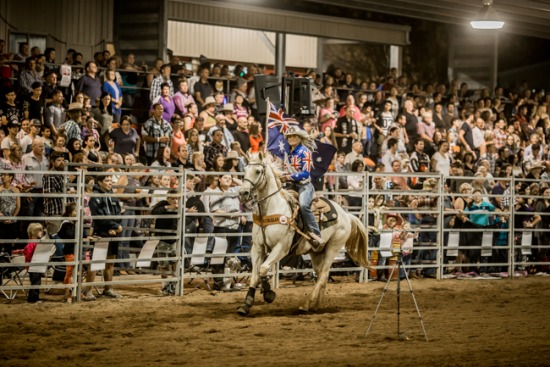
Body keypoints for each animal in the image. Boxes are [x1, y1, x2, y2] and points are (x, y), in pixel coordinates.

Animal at [238, 152, 370, 316]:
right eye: (244, 170)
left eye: (257, 171)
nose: (243, 193)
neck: (271, 208)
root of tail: (346, 215)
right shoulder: (257, 247)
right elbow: (255, 274)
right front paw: (246, 305)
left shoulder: (281, 248)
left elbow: (262, 269)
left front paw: (268, 293)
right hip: (317, 252)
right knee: (321, 276)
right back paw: (316, 306)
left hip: (333, 248)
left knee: (323, 275)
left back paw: (305, 305)